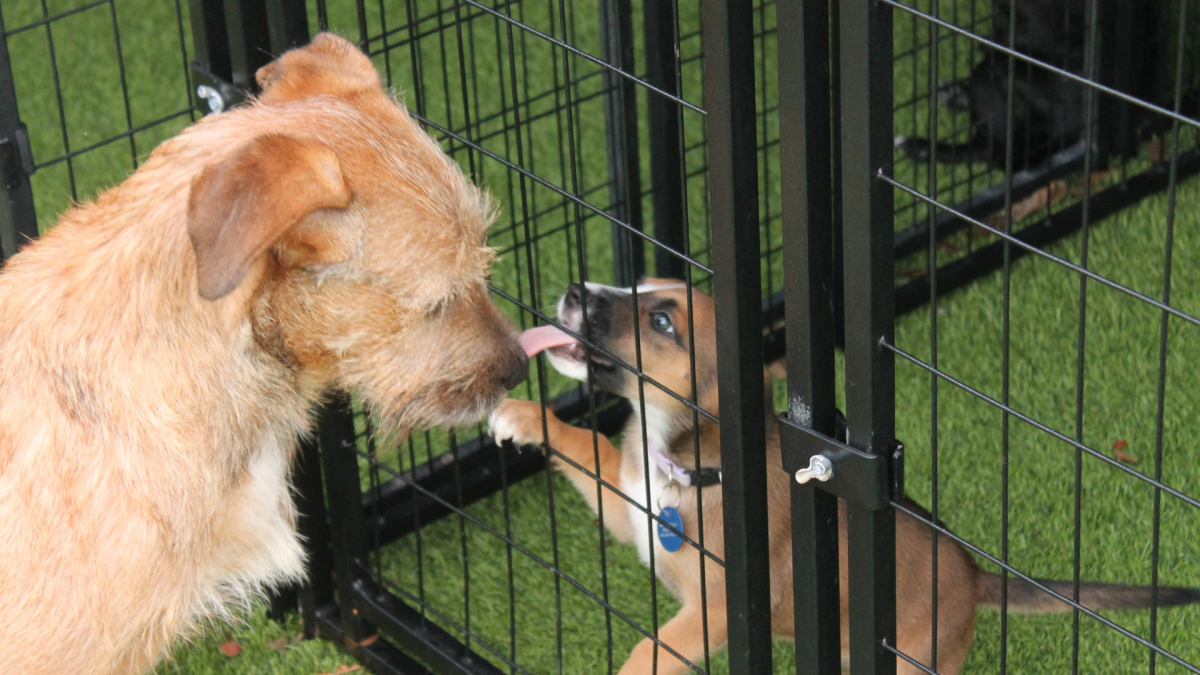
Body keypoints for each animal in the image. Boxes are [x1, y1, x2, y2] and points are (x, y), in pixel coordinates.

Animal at [489, 278, 1200, 672]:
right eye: (635, 287)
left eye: (662, 322)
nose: (575, 292)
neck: (679, 462)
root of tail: (976, 579)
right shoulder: (629, 503)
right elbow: (586, 443)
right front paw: (525, 418)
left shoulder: (718, 610)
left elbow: (649, 650)